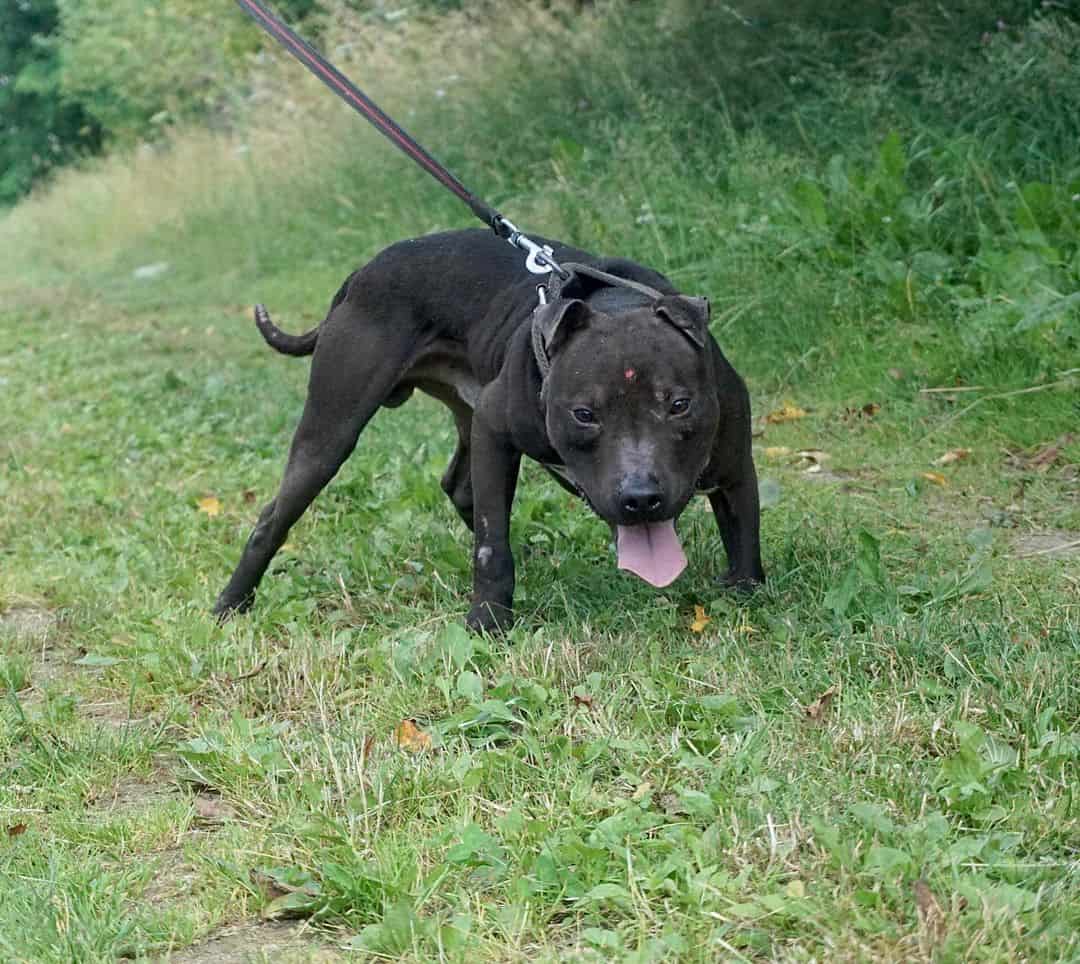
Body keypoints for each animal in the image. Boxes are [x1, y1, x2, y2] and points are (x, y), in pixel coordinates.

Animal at [214, 228, 764, 626]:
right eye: (584, 414)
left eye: (679, 405)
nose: (640, 497)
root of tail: (362, 272)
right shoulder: (497, 432)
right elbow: (490, 544)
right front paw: (487, 620)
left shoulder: (735, 468)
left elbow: (745, 533)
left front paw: (747, 594)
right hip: (333, 430)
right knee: (274, 516)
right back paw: (230, 605)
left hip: (466, 410)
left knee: (460, 485)